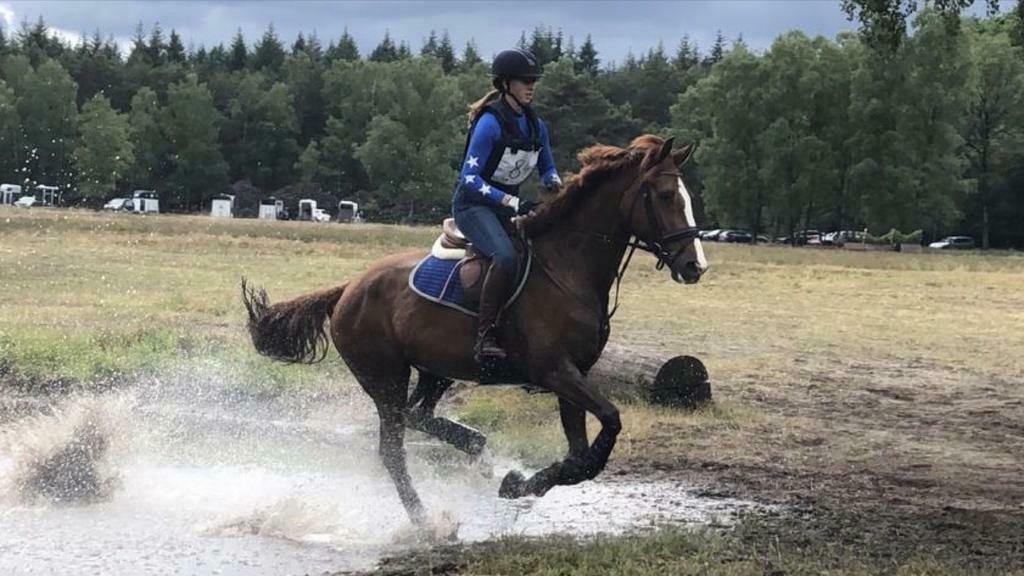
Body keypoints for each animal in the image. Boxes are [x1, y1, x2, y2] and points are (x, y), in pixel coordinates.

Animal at [241, 135, 708, 524]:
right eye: (665, 195)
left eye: (686, 197)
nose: (694, 266)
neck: (566, 268)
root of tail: (348, 290)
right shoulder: (555, 371)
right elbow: (609, 422)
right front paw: (521, 483)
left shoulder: (573, 374)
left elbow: (580, 455)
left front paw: (521, 483)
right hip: (384, 377)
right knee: (392, 447)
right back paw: (425, 521)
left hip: (436, 370)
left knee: (417, 415)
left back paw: (475, 448)